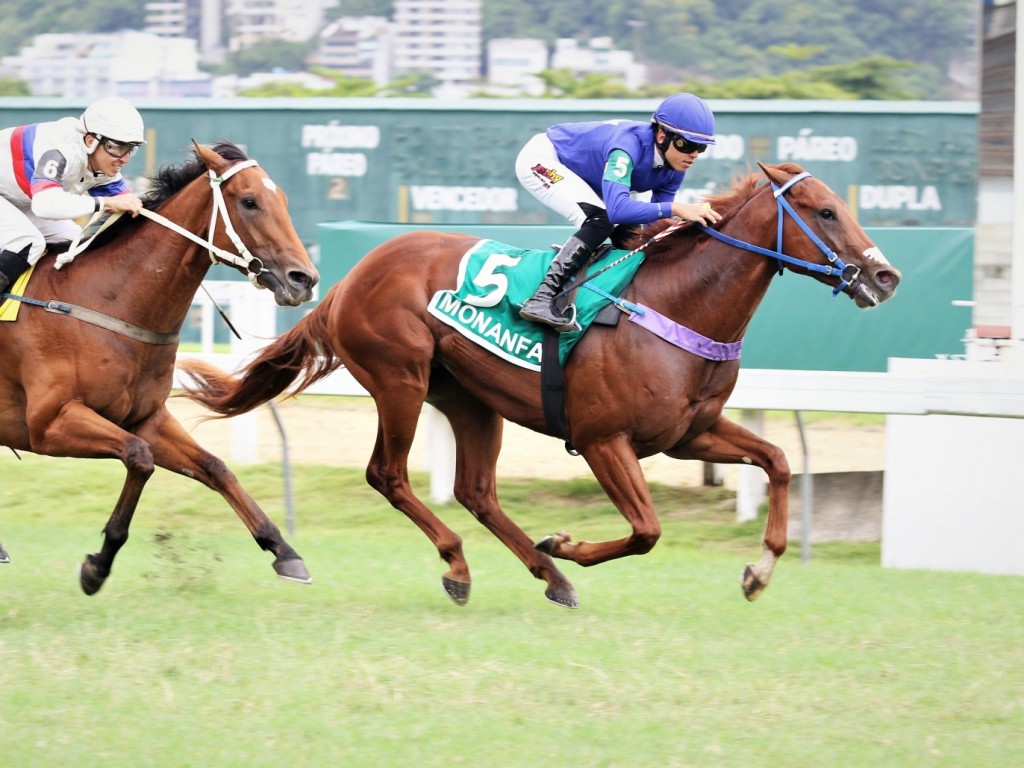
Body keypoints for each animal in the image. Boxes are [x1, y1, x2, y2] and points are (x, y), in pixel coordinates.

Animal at [0, 140, 319, 593]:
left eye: (285, 201)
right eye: (249, 201)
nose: (303, 279)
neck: (108, 300)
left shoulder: (146, 417)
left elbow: (215, 467)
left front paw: (283, 550)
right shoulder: (50, 423)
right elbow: (140, 456)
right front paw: (98, 565)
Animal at [180, 162, 901, 606]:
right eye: (825, 212)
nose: (885, 275)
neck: (675, 304)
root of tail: (348, 278)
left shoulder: (688, 433)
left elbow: (777, 461)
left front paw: (759, 570)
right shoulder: (604, 439)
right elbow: (646, 530)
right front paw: (571, 545)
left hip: (467, 398)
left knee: (476, 491)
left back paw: (546, 573)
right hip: (400, 380)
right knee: (389, 475)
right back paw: (468, 564)